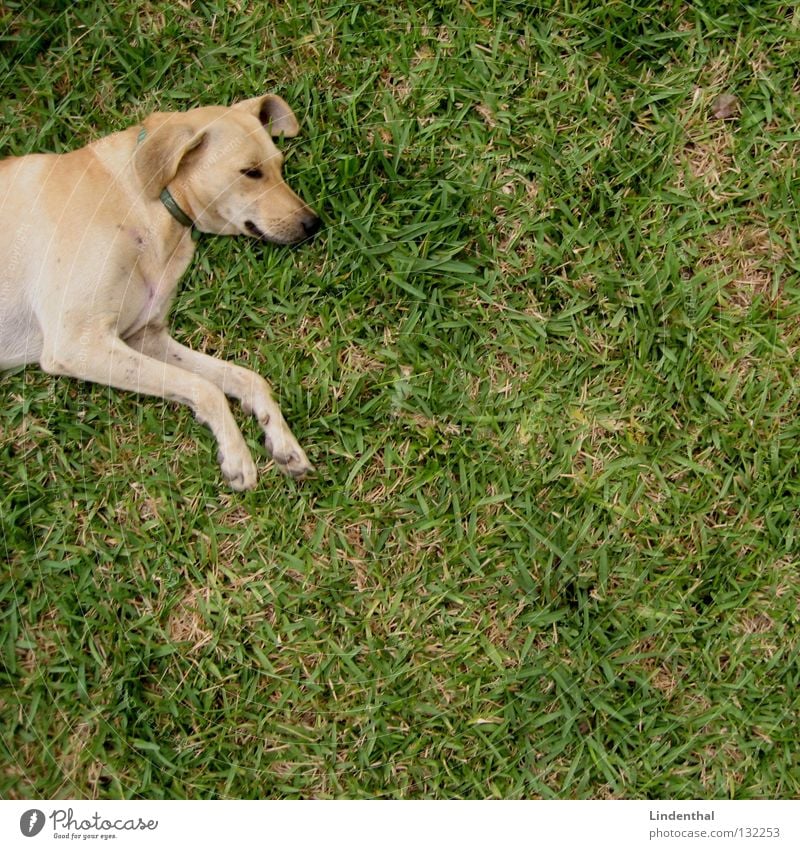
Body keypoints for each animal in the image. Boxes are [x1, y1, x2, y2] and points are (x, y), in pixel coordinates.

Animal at [0, 94, 318, 490]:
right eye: (250, 172)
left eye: (279, 165)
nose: (314, 224)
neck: (142, 199)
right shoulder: (78, 343)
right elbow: (205, 387)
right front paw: (236, 456)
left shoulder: (143, 337)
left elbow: (245, 377)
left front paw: (282, 442)